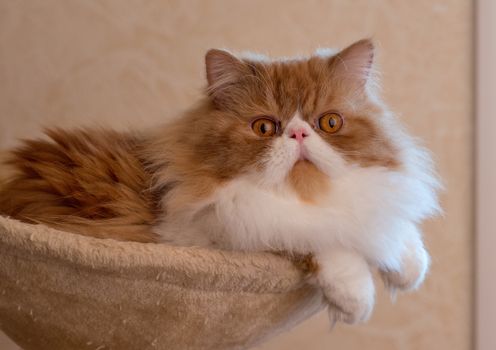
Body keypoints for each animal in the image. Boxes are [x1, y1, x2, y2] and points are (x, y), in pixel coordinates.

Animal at [0, 39, 442, 326]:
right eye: (264, 127)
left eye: (329, 123)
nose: (299, 134)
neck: (308, 199)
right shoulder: (217, 230)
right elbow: (318, 241)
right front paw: (355, 297)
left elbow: (386, 227)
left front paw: (408, 265)